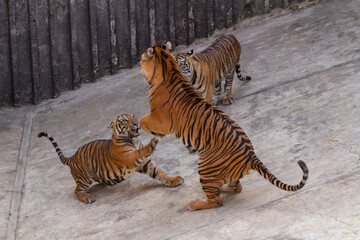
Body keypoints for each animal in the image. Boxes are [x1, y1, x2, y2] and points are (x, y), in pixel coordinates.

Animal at [38, 113, 183, 203]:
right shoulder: (130, 157)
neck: (134, 141)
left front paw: (174, 180)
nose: (137, 123)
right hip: (84, 179)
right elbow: (141, 151)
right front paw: (153, 142)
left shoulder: (145, 163)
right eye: (124, 120)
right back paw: (87, 198)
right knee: (77, 191)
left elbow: (160, 173)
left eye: (134, 116)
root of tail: (72, 157)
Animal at [139, 45, 308, 210]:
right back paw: (223, 189)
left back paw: (194, 204)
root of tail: (251, 156)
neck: (168, 68)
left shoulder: (161, 119)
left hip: (205, 168)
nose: (140, 60)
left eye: (141, 59)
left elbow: (143, 120)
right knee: (236, 187)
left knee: (216, 201)